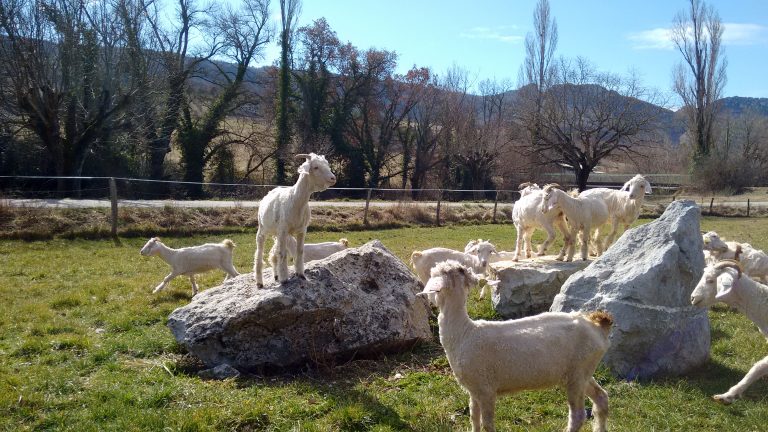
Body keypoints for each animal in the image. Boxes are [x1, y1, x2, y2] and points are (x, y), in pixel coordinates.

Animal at [254, 154, 334, 288]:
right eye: (315, 167)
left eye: (327, 165)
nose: (333, 178)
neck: (295, 199)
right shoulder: (283, 230)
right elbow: (283, 254)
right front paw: (284, 280)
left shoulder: (302, 230)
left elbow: (299, 251)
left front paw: (300, 274)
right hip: (263, 228)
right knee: (260, 252)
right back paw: (260, 282)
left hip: (277, 233)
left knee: (274, 254)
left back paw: (276, 275)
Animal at [420, 260, 612, 432]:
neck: (464, 332)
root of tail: (598, 325)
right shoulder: (474, 390)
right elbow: (474, 418)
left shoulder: (486, 389)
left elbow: (487, 424)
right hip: (582, 371)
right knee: (601, 398)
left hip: (577, 375)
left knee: (578, 415)